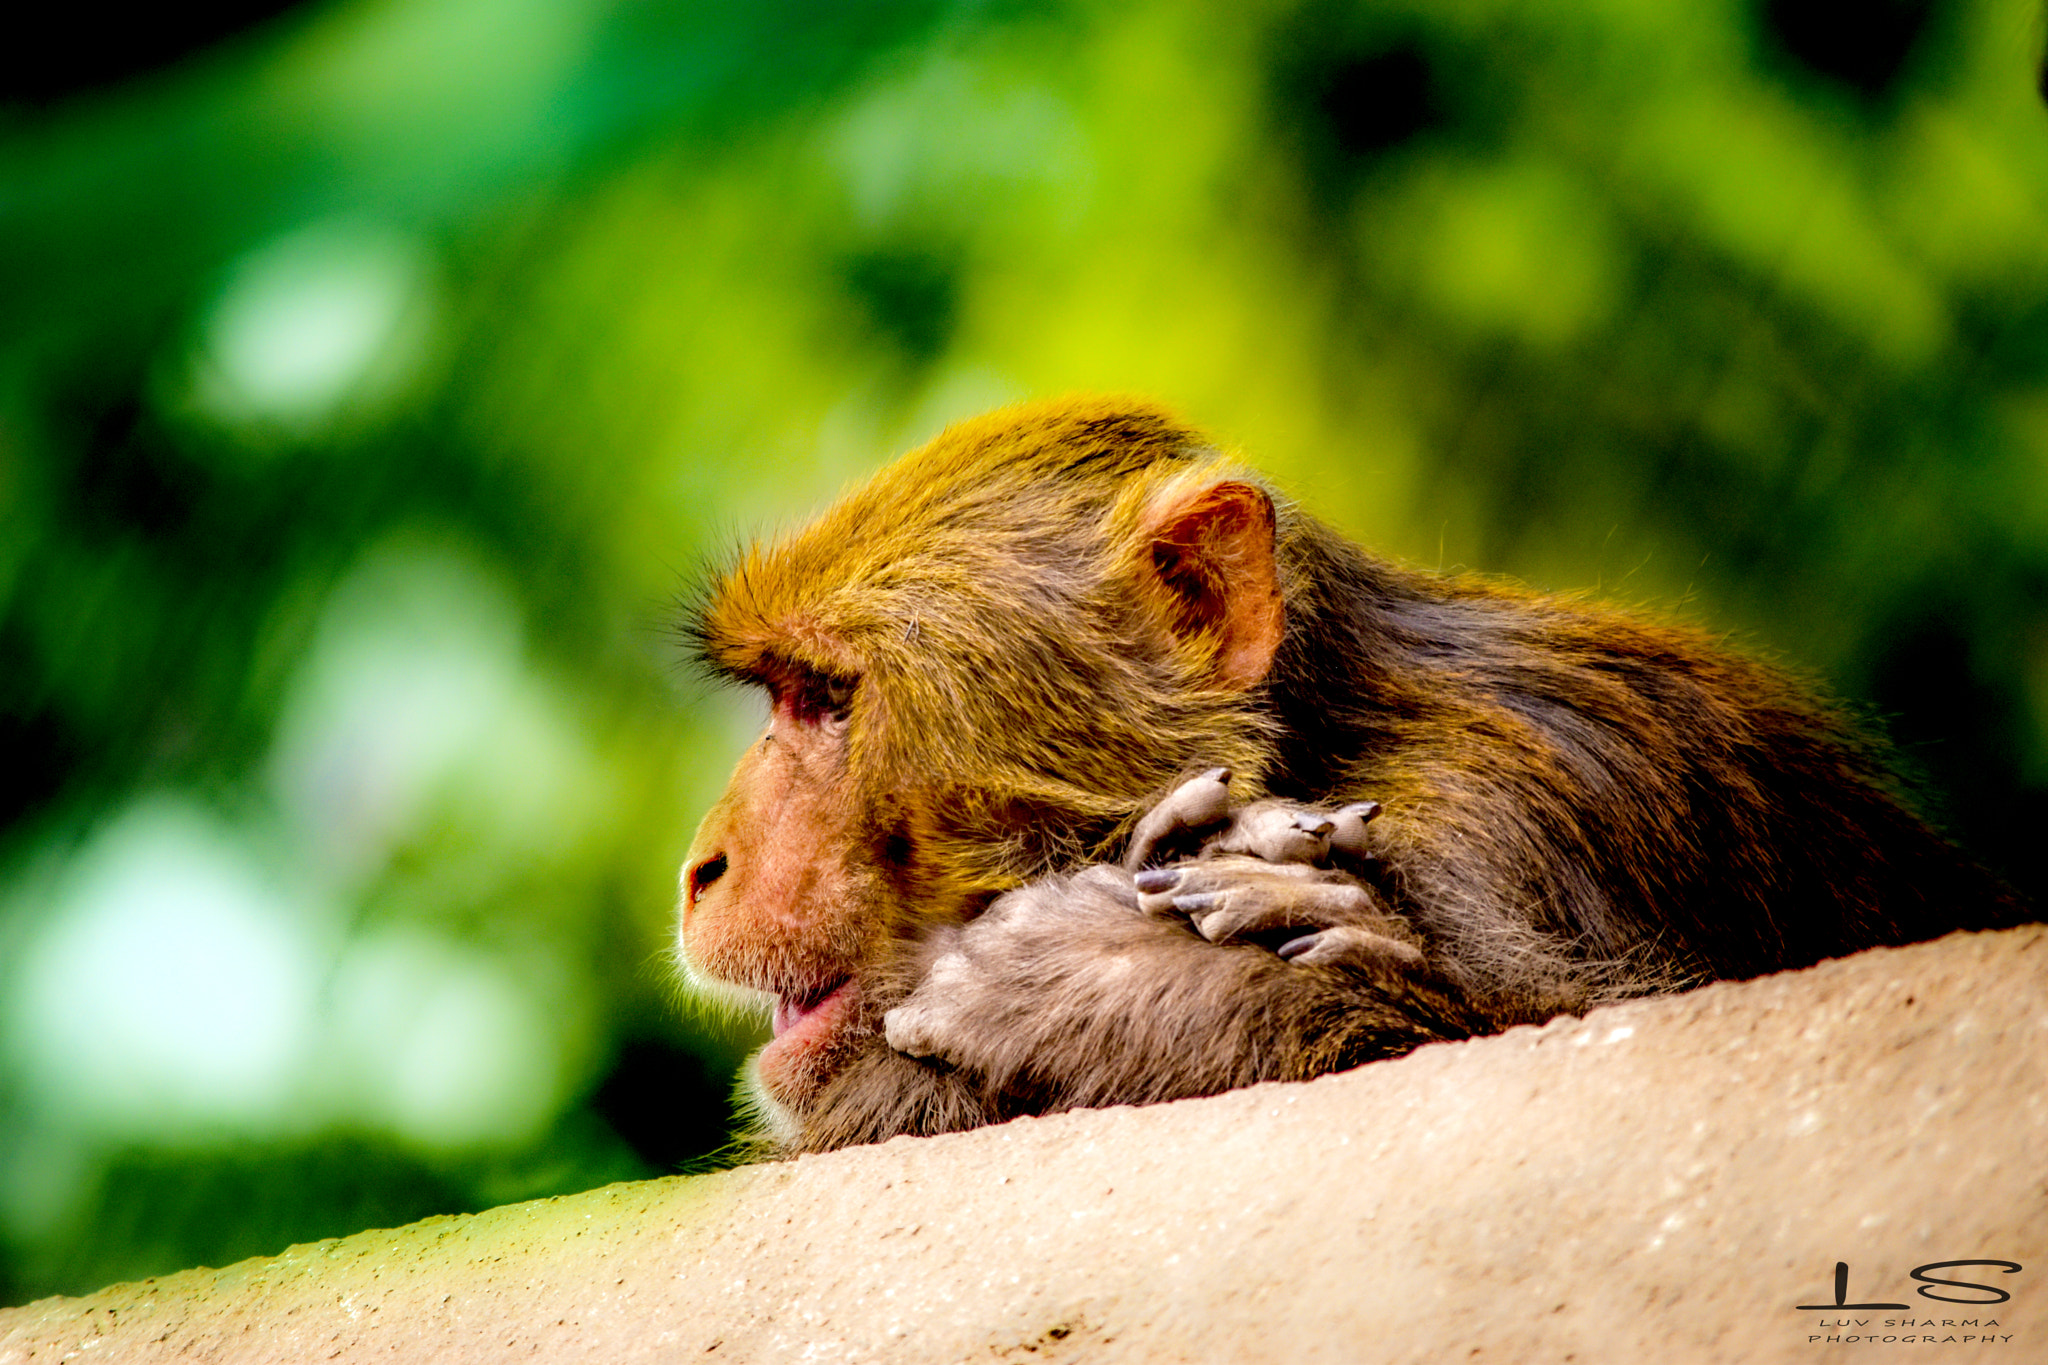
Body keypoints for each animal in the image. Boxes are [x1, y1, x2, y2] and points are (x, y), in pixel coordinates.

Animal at [675, 395, 2024, 1156]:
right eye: (780, 695)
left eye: (825, 699)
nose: (701, 868)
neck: (1326, 748)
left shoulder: (1519, 815)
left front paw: (1100, 975)